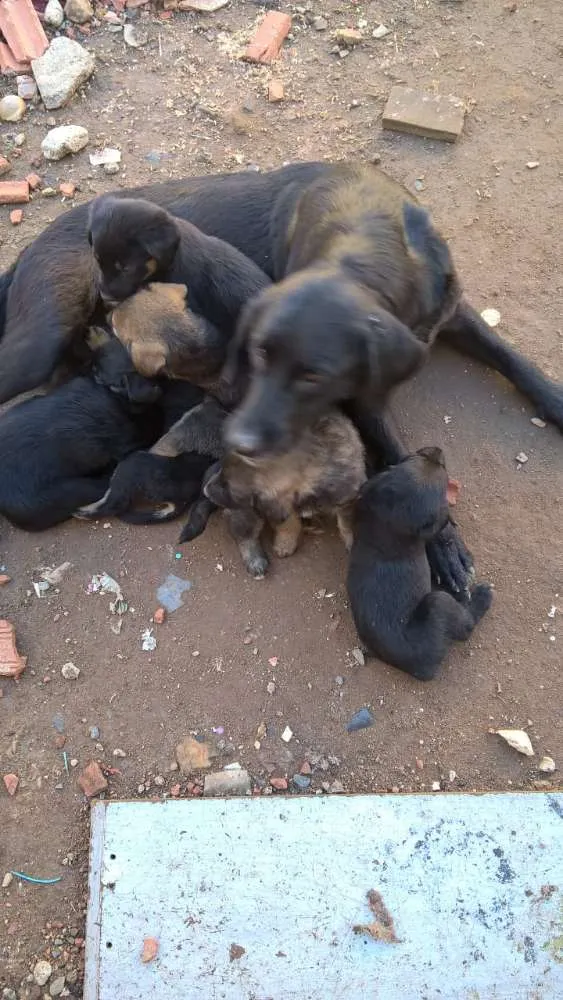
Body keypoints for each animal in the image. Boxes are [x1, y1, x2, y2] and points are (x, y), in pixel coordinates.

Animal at [180, 412, 366, 580]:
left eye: (228, 486)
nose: (206, 489)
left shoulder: (348, 496)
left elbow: (347, 522)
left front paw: (351, 541)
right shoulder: (275, 506)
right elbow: (289, 525)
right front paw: (285, 544)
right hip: (247, 511)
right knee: (244, 535)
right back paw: (255, 560)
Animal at [348, 450, 494, 684]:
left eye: (412, 459)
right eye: (442, 473)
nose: (436, 451)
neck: (384, 520)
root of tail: (416, 667)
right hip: (438, 603)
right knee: (466, 626)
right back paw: (479, 597)